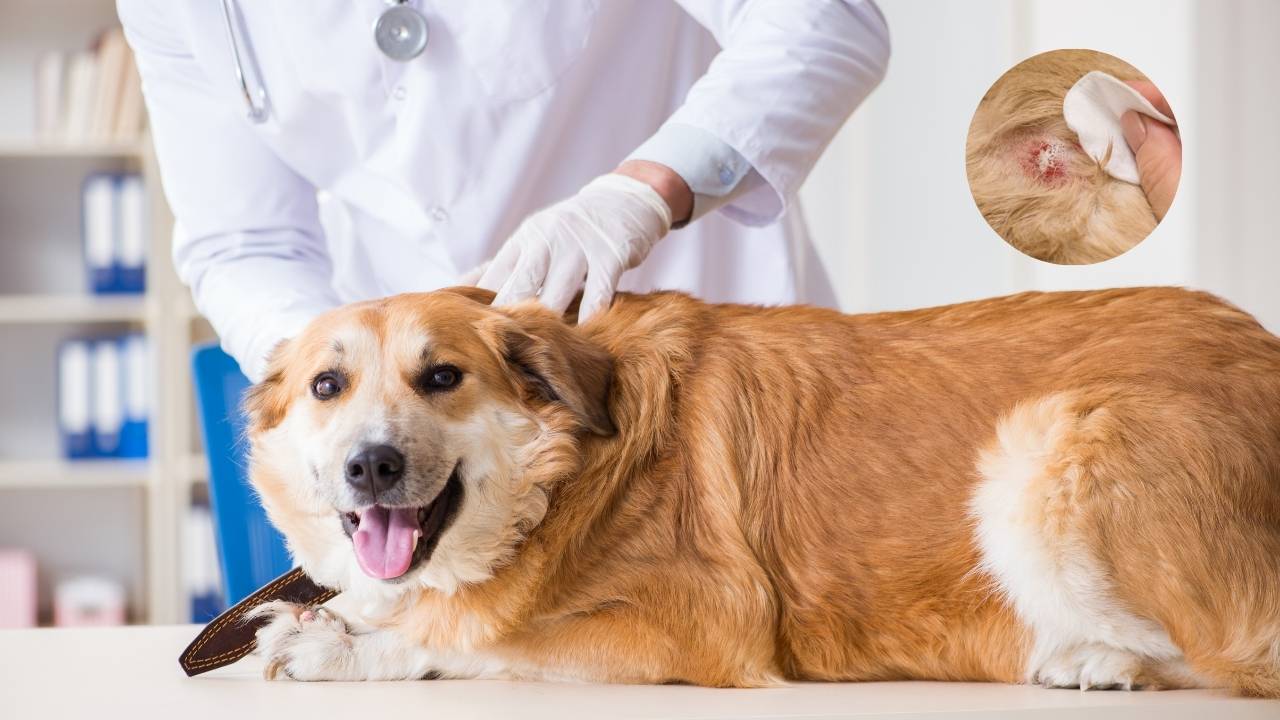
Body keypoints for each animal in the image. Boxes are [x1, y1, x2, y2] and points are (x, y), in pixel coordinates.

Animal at [244, 285, 1280, 696]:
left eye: (443, 377)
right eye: (328, 385)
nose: (371, 466)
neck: (564, 478)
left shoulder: (706, 620)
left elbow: (476, 634)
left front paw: (341, 648)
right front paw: (343, 619)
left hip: (1045, 442)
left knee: (1238, 657)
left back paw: (1101, 659)